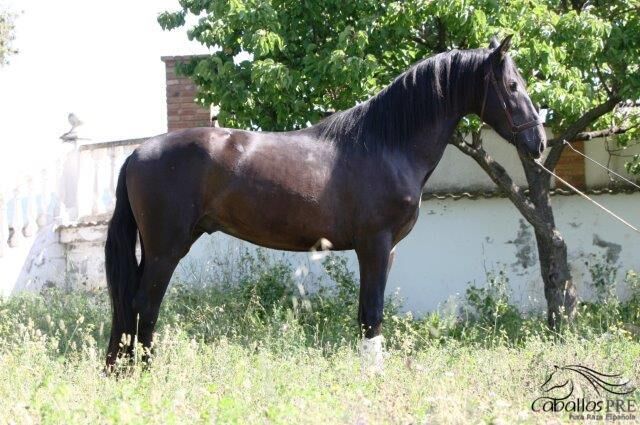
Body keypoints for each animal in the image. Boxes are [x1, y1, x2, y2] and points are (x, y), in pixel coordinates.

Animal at [105, 36, 544, 366]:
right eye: (512, 86)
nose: (537, 142)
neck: (386, 143)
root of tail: (137, 153)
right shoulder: (375, 245)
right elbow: (372, 314)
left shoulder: (386, 250)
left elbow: (367, 314)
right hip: (165, 248)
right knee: (144, 303)